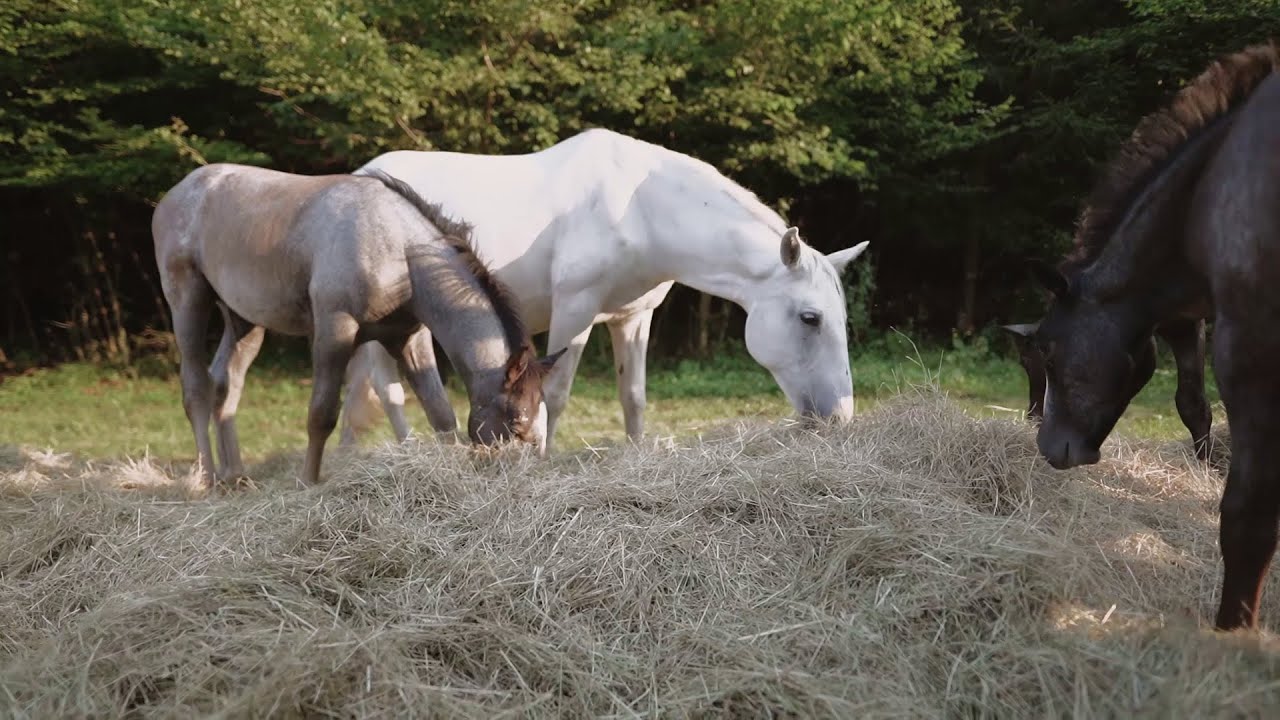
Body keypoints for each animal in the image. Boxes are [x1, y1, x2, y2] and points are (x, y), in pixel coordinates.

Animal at [152, 165, 564, 487]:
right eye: (515, 422)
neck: (398, 250)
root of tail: (177, 192)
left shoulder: (410, 339)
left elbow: (440, 412)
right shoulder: (334, 330)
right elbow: (322, 413)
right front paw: (308, 482)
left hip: (244, 321)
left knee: (226, 384)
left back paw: (235, 474)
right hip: (187, 301)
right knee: (197, 387)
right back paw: (206, 479)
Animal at [339, 128, 870, 450]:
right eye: (810, 318)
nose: (841, 417)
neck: (639, 212)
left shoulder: (632, 318)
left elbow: (632, 396)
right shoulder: (575, 312)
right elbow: (553, 396)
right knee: (390, 391)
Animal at [1027, 43, 1279, 630]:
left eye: (1048, 348)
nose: (1048, 447)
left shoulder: (1248, 345)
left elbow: (1247, 512)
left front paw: (1232, 632)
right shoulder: (1188, 318)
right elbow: (1193, 404)